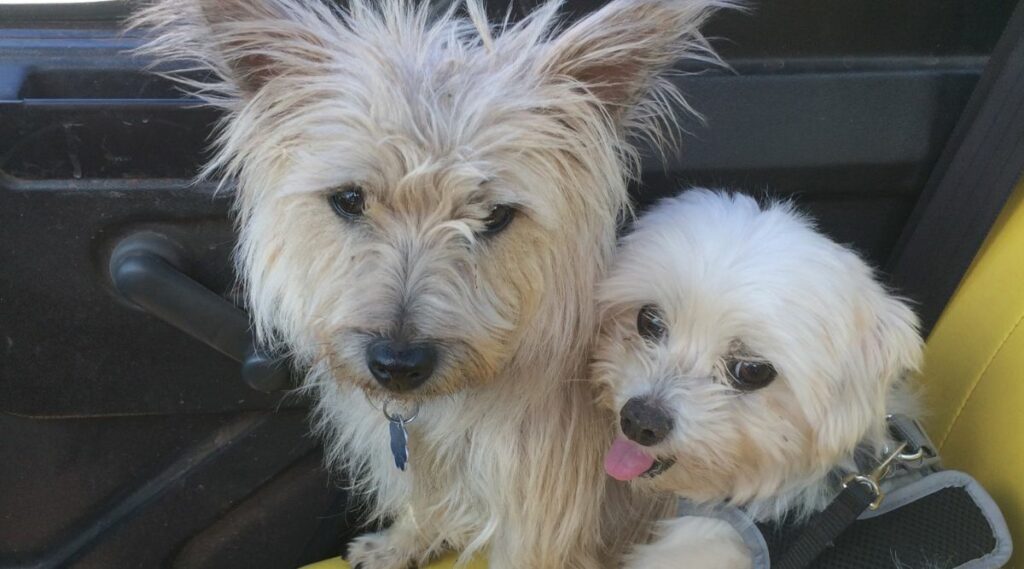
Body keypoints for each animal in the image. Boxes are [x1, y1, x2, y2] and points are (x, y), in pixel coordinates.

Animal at [132, 0, 733, 564]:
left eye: (495, 215)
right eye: (349, 199)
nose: (398, 365)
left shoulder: (541, 517)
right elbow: (420, 503)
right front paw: (399, 544)